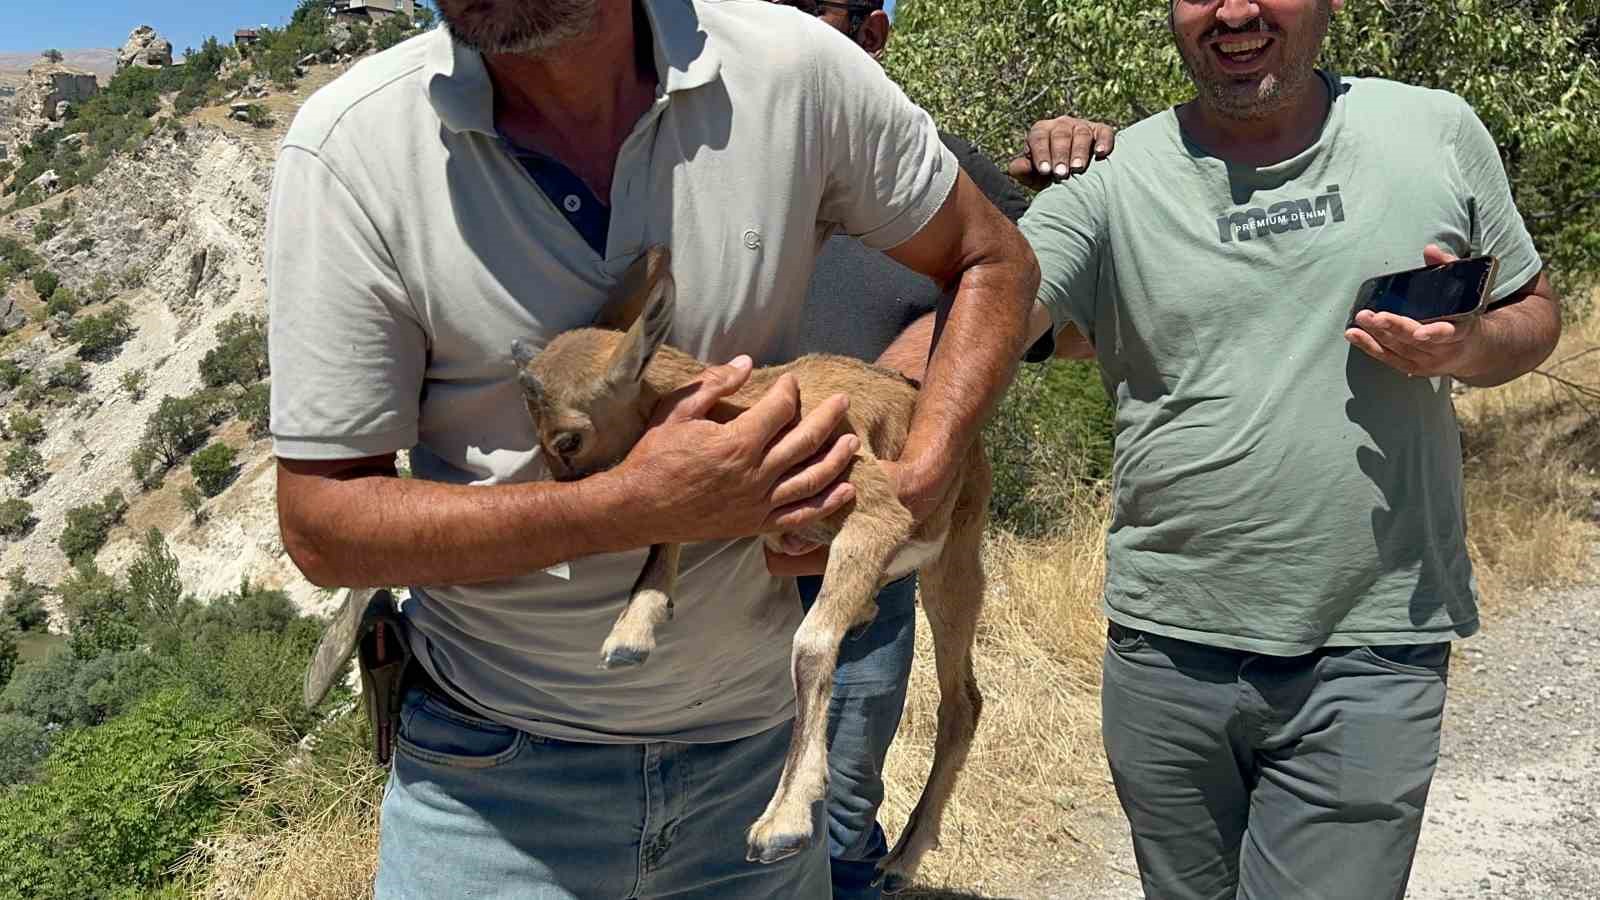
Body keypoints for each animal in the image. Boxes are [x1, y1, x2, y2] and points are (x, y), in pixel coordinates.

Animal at [512, 245, 985, 890]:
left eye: (566, 440)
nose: (564, 524)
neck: (752, 404)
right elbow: (669, 526)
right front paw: (632, 631)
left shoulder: (873, 510)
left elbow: (810, 645)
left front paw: (781, 823)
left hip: (951, 563)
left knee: (962, 703)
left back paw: (902, 860)